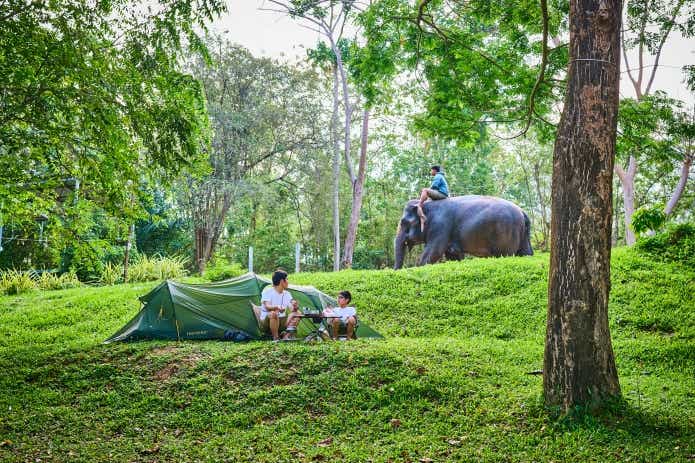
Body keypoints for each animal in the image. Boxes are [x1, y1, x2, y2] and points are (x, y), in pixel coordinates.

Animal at [394, 195, 536, 268]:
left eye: (404, 222)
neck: (428, 205)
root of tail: (522, 212)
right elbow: (453, 256)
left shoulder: (440, 226)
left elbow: (433, 252)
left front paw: (419, 266)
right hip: (522, 233)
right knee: (526, 253)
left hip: (506, 233)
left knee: (505, 254)